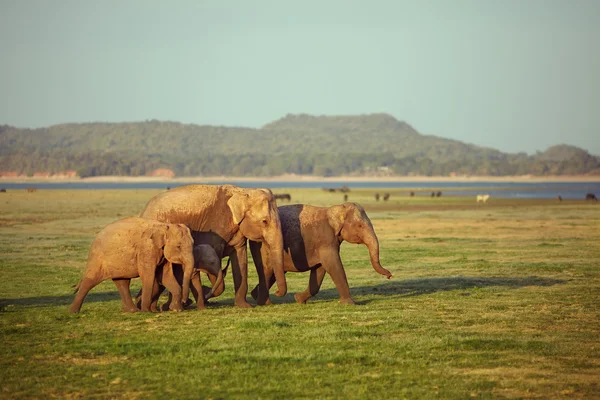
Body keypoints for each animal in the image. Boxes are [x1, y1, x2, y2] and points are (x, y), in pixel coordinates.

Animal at [139, 183, 288, 308]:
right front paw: (206, 293)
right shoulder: (214, 229)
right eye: (264, 221)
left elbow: (240, 260)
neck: (243, 191)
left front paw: (244, 306)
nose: (277, 293)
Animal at [250, 203, 394, 306]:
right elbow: (333, 265)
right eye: (359, 226)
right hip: (262, 248)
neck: (334, 209)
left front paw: (299, 299)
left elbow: (319, 270)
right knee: (267, 272)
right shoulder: (325, 240)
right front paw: (350, 304)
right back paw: (265, 302)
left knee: (273, 274)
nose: (389, 275)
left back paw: (255, 295)